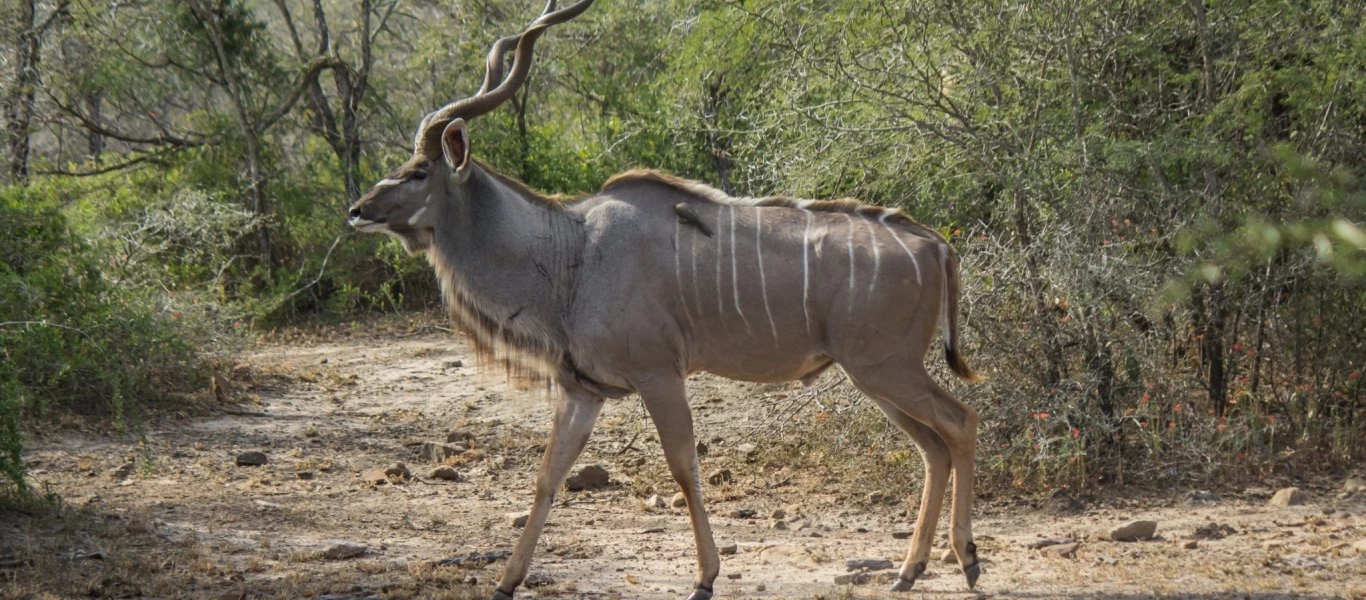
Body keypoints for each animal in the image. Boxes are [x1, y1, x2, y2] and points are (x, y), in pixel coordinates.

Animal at [341, 2, 983, 598]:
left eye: (419, 171)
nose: (357, 210)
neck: (570, 254)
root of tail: (934, 244)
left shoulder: (658, 374)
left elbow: (683, 468)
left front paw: (705, 577)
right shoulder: (582, 390)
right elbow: (547, 476)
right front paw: (505, 581)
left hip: (884, 367)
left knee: (960, 422)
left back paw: (967, 560)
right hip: (873, 375)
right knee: (933, 447)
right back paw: (908, 571)